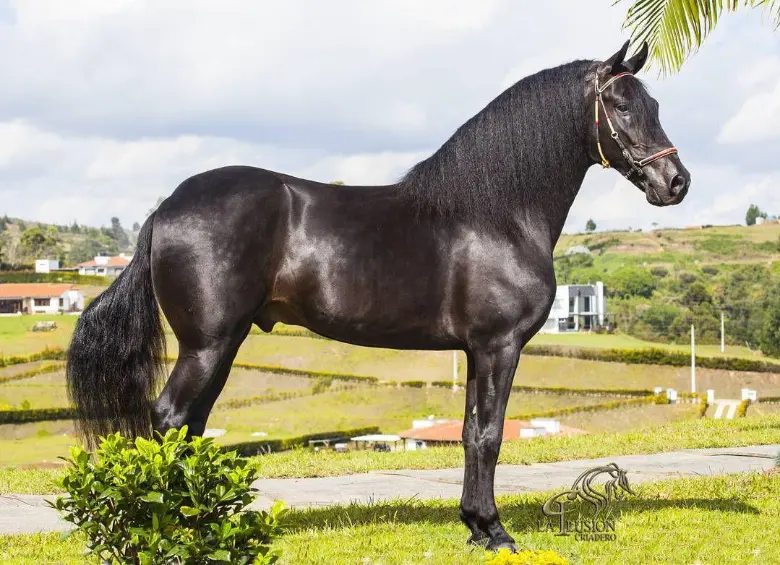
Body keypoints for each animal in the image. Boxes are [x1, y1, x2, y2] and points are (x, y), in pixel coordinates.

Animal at [67, 40, 688, 552]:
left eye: (655, 105)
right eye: (623, 106)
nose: (676, 183)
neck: (497, 214)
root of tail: (165, 209)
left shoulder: (475, 351)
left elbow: (470, 433)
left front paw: (474, 526)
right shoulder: (499, 346)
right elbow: (490, 435)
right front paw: (496, 532)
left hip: (221, 343)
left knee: (190, 425)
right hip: (208, 344)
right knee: (170, 418)